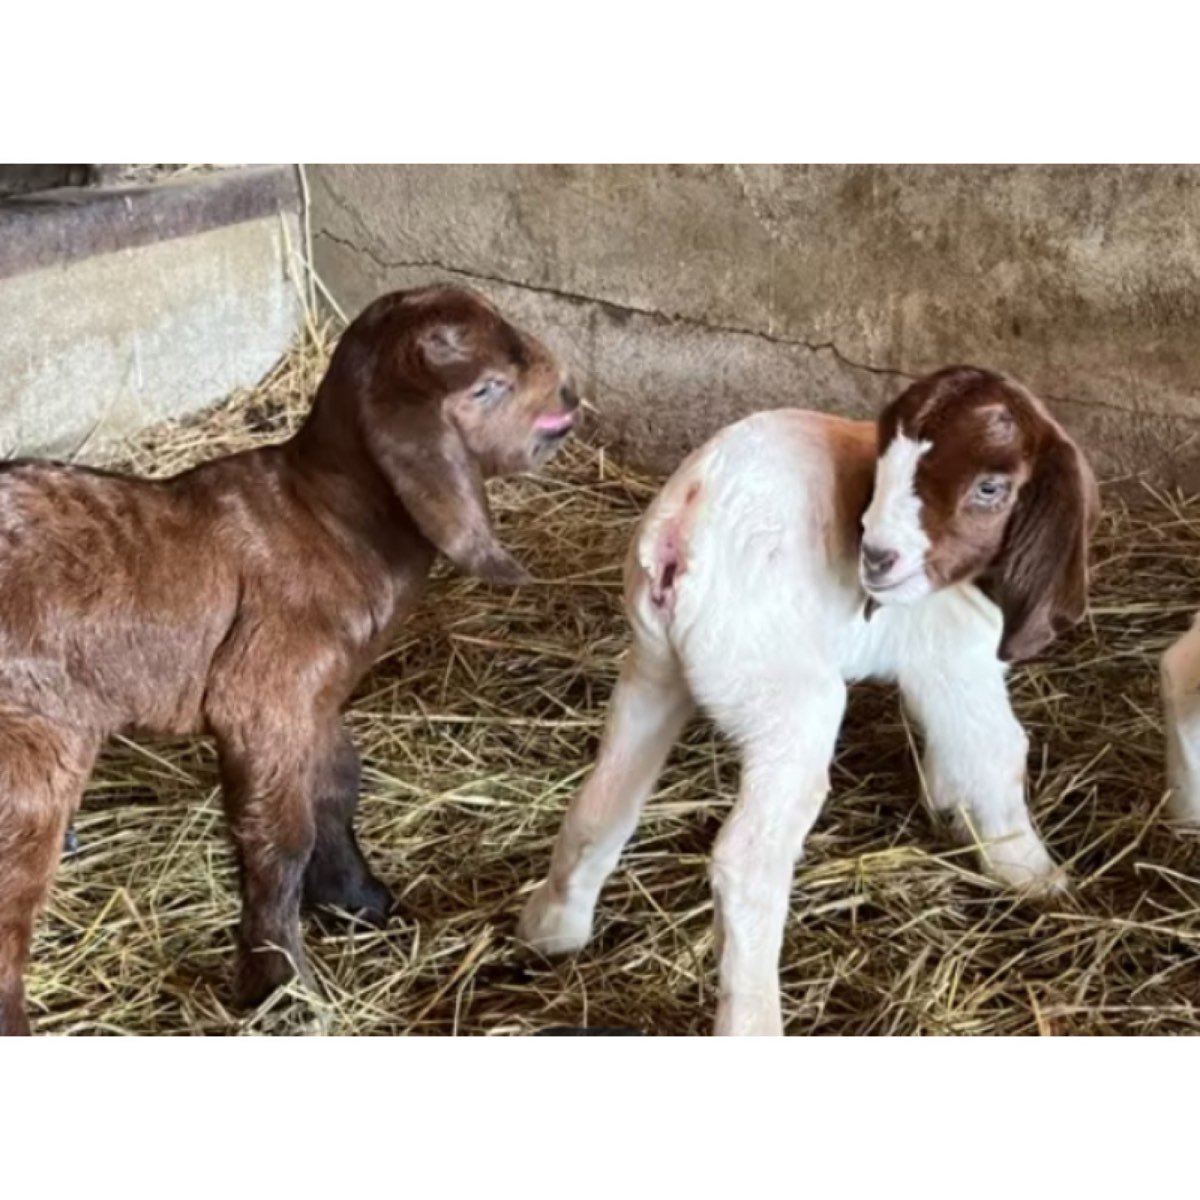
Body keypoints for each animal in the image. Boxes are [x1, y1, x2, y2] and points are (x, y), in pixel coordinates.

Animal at [0, 284, 577, 1035]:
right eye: (488, 387)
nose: (570, 397)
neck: (328, 517)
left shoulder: (319, 696)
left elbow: (335, 786)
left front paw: (361, 902)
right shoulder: (263, 693)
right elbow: (282, 836)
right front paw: (282, 985)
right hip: (32, 740)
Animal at [520, 366, 1098, 1036]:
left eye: (990, 487)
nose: (876, 558)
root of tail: (685, 524)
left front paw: (950, 811)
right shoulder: (954, 656)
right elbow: (997, 752)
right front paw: (1036, 875)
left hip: (654, 666)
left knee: (603, 800)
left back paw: (552, 930)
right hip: (785, 697)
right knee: (748, 860)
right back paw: (753, 1023)